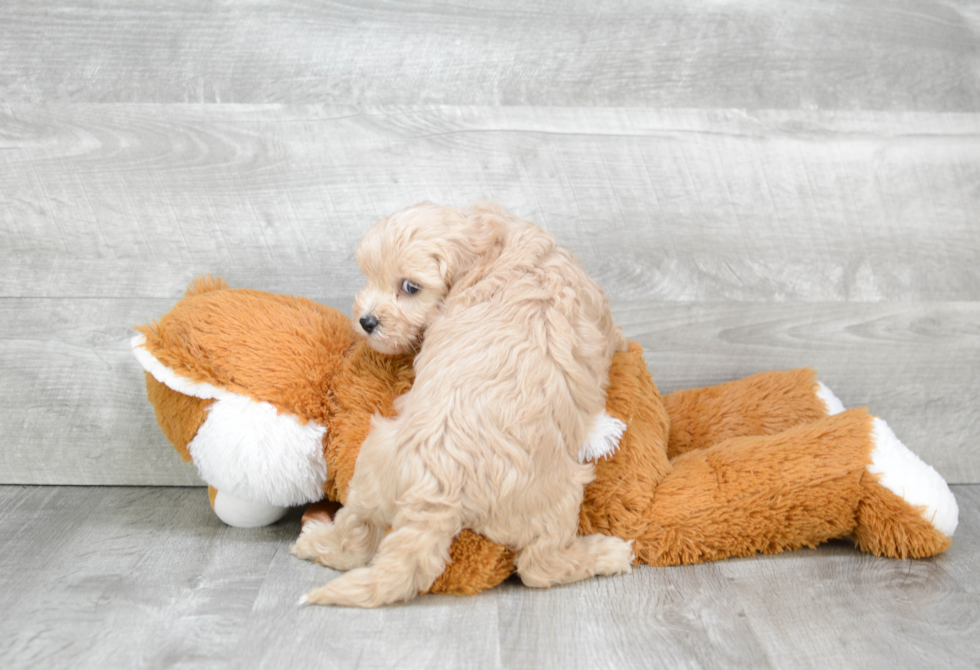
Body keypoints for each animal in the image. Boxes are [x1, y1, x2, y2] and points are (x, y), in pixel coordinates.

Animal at [290, 202, 632, 608]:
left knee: (356, 537)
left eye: (410, 287)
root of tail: (438, 484)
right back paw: (608, 554)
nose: (366, 321)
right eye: (370, 275)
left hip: (373, 470)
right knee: (540, 566)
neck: (494, 249)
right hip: (556, 498)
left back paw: (314, 540)